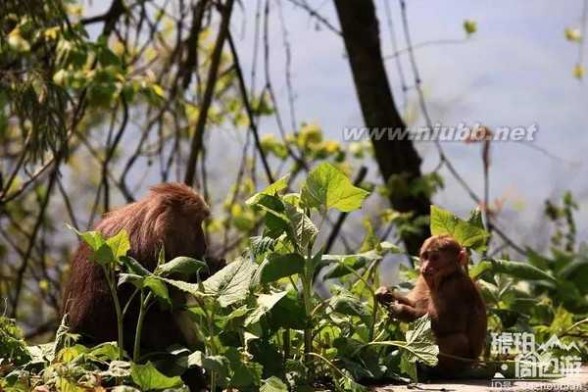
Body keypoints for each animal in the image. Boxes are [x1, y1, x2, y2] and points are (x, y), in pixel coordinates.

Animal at [376, 234, 486, 376]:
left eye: (435, 258)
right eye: (426, 256)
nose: (426, 267)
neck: (443, 279)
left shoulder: (455, 287)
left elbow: (447, 324)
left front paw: (403, 311)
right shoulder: (423, 280)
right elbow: (415, 303)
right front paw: (386, 294)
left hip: (462, 362)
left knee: (458, 340)